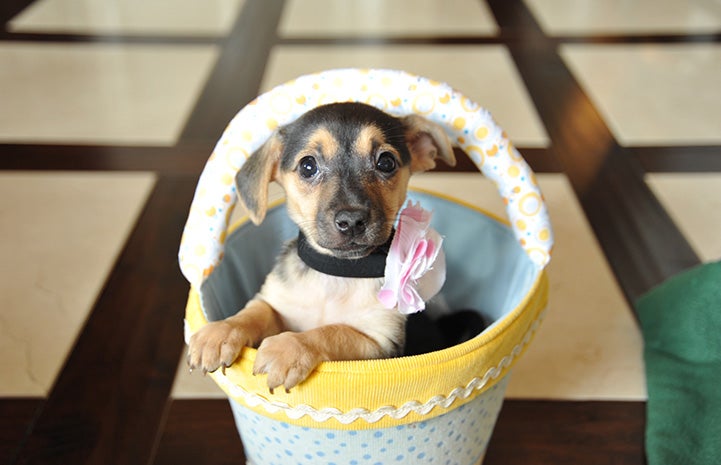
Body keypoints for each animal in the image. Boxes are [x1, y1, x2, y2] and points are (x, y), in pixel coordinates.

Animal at [186, 102, 456, 392]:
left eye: (386, 162)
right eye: (307, 166)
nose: (352, 221)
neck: (337, 271)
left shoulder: (378, 341)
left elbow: (333, 331)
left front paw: (288, 347)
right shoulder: (277, 304)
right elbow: (255, 312)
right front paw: (221, 331)